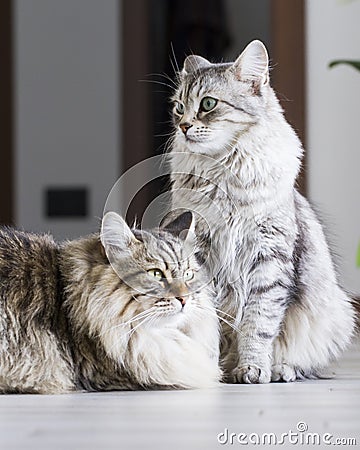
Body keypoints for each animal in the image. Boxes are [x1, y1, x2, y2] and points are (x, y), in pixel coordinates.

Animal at [168, 39, 358, 384]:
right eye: (178, 106)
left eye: (208, 104)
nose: (183, 126)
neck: (222, 176)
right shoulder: (201, 251)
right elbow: (209, 323)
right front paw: (212, 369)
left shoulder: (269, 256)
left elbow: (258, 325)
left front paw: (252, 369)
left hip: (337, 315)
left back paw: (282, 370)